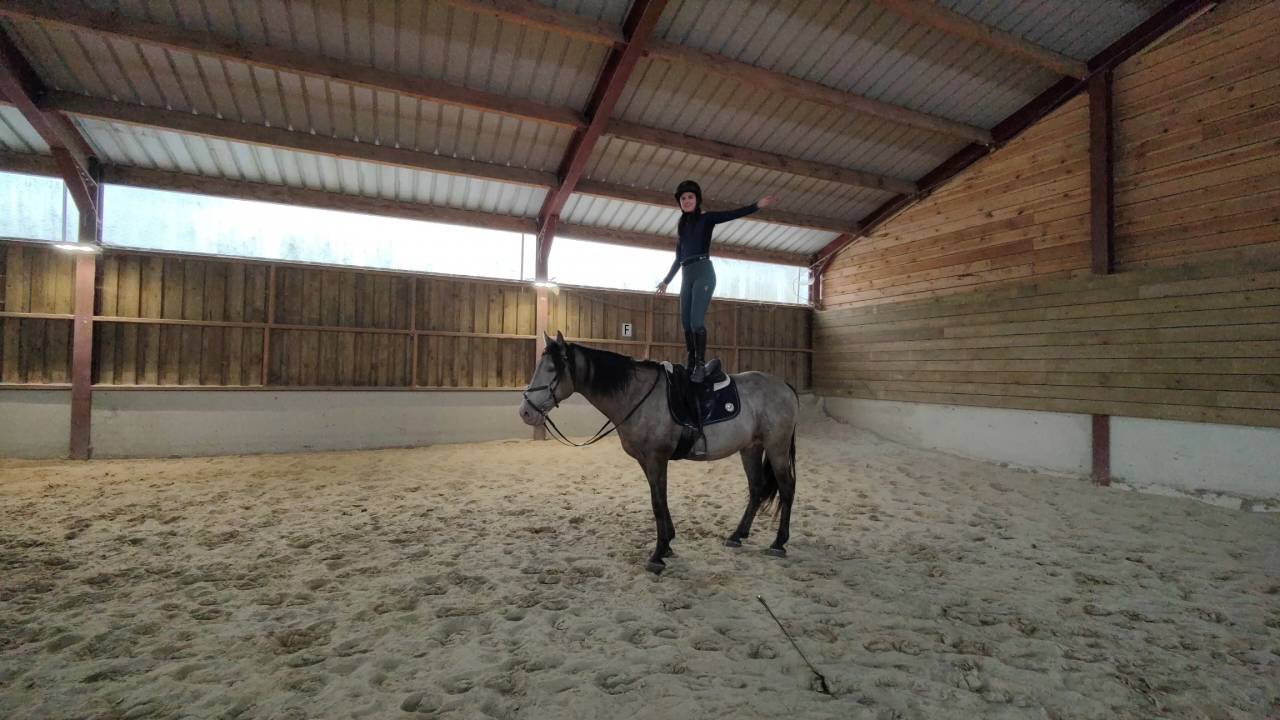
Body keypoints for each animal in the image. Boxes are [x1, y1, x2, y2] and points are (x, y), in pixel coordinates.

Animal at [518, 331, 800, 574]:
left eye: (551, 370)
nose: (526, 412)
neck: (636, 395)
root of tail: (786, 386)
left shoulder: (656, 458)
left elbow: (657, 503)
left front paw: (657, 554)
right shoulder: (647, 461)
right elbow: (660, 499)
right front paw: (667, 545)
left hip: (776, 447)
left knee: (786, 487)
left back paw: (778, 542)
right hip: (750, 448)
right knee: (756, 489)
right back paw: (737, 535)